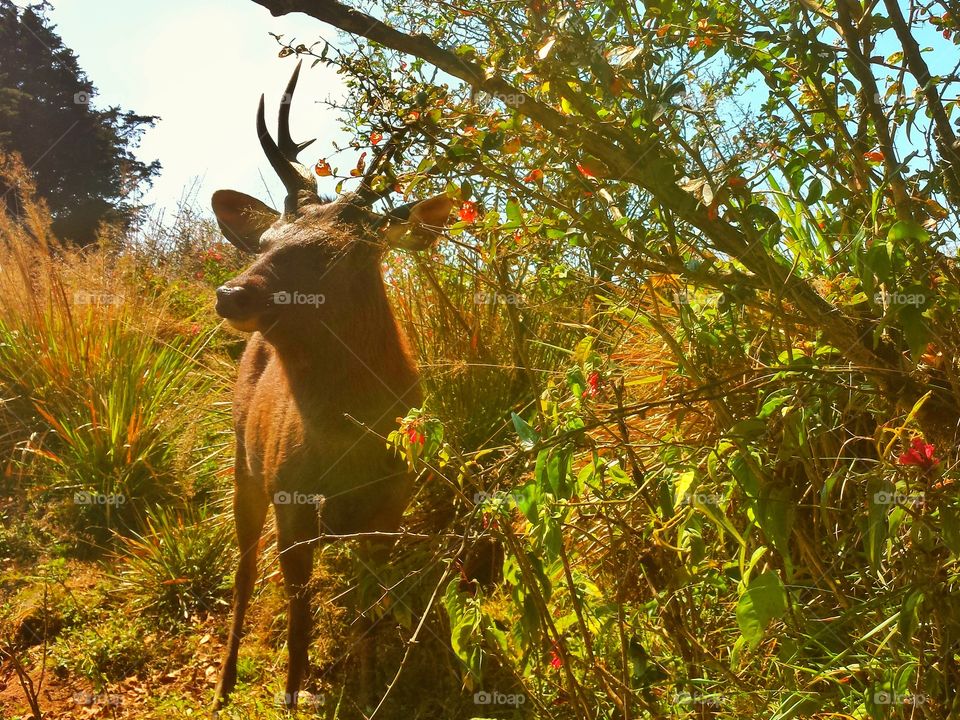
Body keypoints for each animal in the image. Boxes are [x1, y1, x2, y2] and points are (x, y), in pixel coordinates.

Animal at [209, 61, 453, 713]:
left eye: (347, 252)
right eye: (266, 242)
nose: (232, 293)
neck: (349, 445)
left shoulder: (392, 506)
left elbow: (366, 613)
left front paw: (370, 691)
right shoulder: (291, 498)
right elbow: (299, 618)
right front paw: (293, 696)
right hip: (244, 464)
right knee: (243, 572)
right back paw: (224, 684)